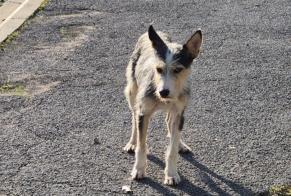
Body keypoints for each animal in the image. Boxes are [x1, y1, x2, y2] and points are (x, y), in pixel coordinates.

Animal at [123, 25, 203, 186]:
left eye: (178, 70)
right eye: (159, 69)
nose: (163, 92)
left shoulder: (179, 113)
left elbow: (172, 149)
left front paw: (171, 174)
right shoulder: (144, 112)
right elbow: (142, 146)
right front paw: (139, 169)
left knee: (170, 124)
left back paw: (180, 144)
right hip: (132, 93)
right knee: (134, 117)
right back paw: (132, 142)